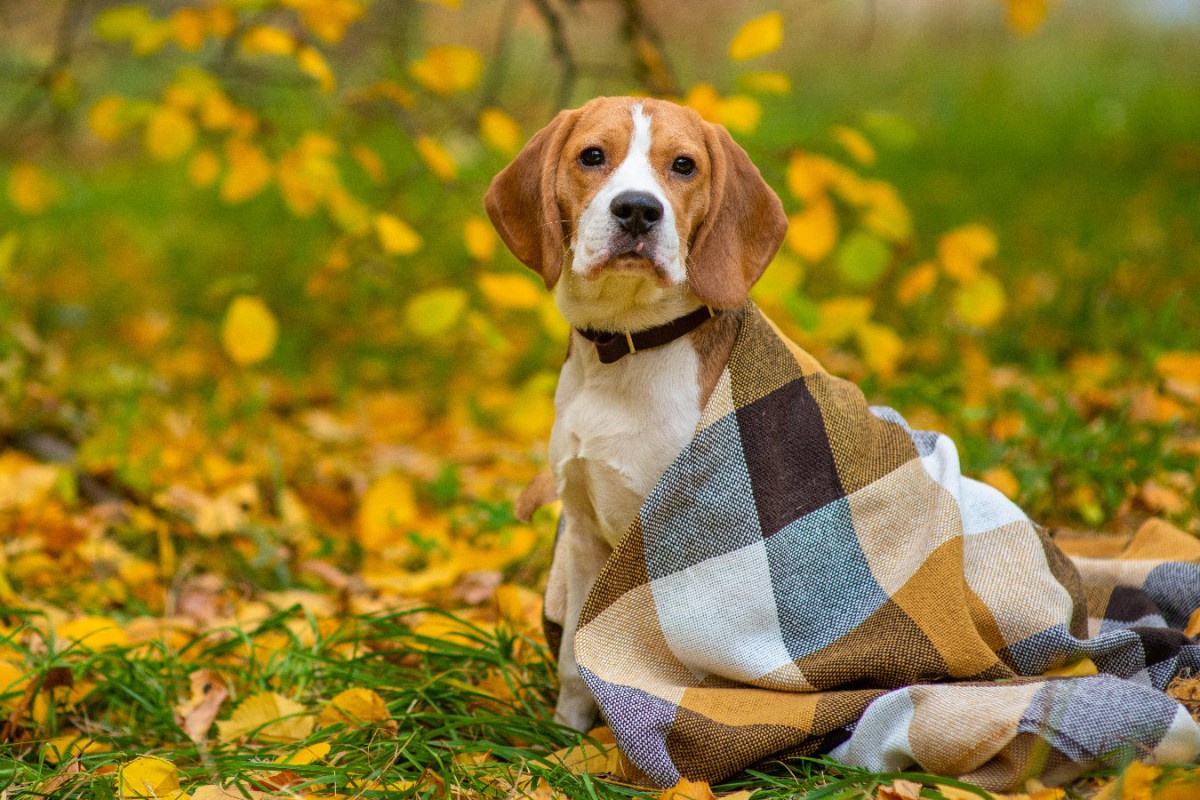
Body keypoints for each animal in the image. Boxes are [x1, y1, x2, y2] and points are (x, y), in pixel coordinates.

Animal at [484, 95, 787, 734]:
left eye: (684, 165)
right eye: (592, 156)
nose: (638, 211)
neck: (623, 351)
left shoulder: (685, 557)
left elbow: (673, 688)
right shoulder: (582, 536)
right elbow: (578, 659)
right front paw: (568, 739)